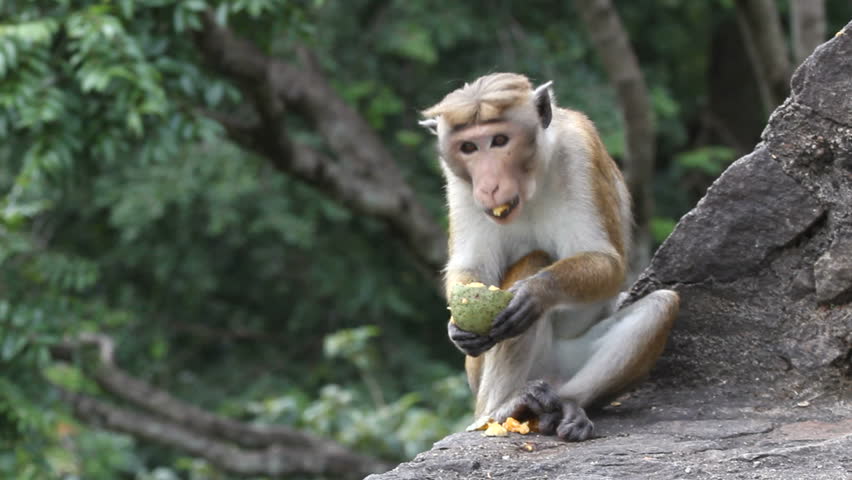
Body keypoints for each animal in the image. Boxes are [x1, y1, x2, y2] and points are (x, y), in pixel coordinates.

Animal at [419, 73, 679, 442]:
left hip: (567, 359)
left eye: (500, 140)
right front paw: (456, 326)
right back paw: (501, 409)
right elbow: (471, 265)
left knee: (660, 306)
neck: (532, 181)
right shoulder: (459, 183)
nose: (489, 186)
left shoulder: (580, 151)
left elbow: (608, 262)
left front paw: (537, 292)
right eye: (468, 147)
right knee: (534, 260)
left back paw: (562, 404)